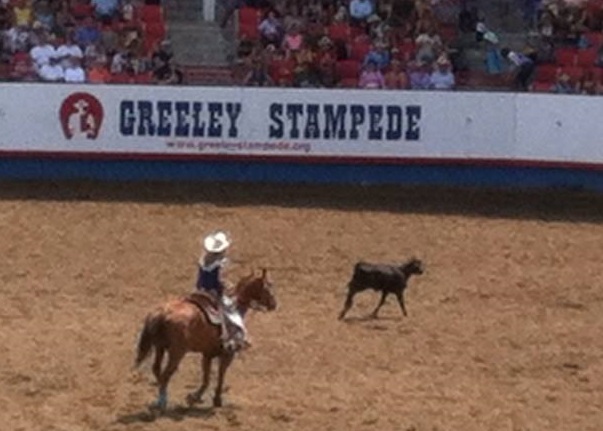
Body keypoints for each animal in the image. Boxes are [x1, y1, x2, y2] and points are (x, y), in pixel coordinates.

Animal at [134, 268, 277, 412]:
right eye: (269, 285)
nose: (274, 304)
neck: (235, 307)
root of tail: (163, 313)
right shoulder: (228, 354)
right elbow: (220, 375)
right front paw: (217, 399)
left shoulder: (207, 355)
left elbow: (206, 377)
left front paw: (195, 397)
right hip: (177, 353)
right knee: (165, 375)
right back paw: (162, 403)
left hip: (160, 348)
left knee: (157, 370)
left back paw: (162, 399)